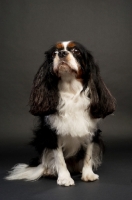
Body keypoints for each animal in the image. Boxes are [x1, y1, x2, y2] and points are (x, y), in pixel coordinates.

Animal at [5, 40, 115, 186]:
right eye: (54, 53)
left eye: (76, 51)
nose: (62, 53)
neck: (71, 90)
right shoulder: (52, 134)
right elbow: (59, 159)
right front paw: (64, 178)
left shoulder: (91, 132)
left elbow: (88, 155)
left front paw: (88, 174)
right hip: (41, 139)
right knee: (46, 162)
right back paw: (49, 171)